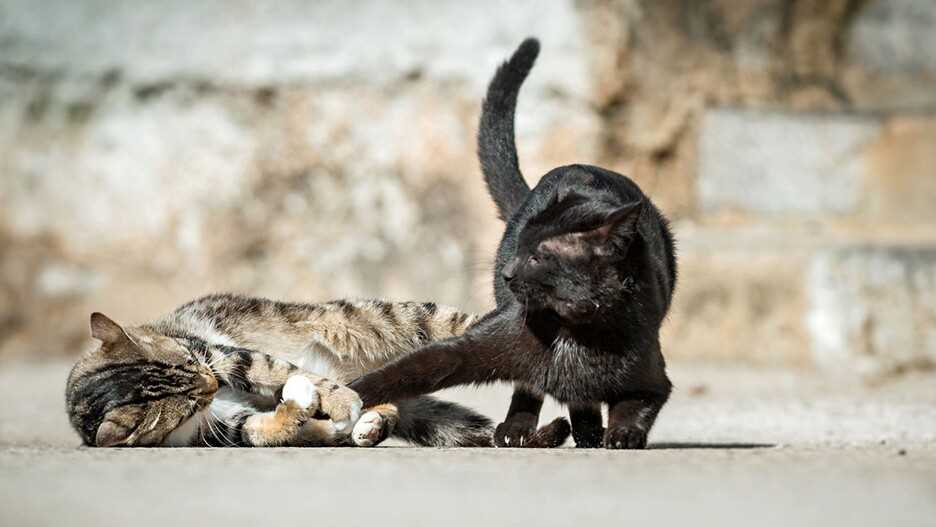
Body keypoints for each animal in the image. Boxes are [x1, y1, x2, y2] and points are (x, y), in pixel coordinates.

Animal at [66, 294, 572, 448]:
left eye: (191, 362)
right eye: (190, 401)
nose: (211, 383)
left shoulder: (221, 352)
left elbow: (272, 368)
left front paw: (332, 397)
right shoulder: (220, 426)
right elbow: (260, 429)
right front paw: (301, 413)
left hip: (380, 319)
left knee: (470, 328)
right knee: (398, 411)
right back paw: (368, 424)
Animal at [348, 38, 676, 450]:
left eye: (536, 257)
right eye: (520, 246)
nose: (507, 272)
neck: (575, 327)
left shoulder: (651, 377)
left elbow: (635, 405)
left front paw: (621, 434)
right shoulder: (478, 344)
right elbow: (407, 370)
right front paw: (342, 393)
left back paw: (586, 433)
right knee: (529, 387)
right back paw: (519, 429)